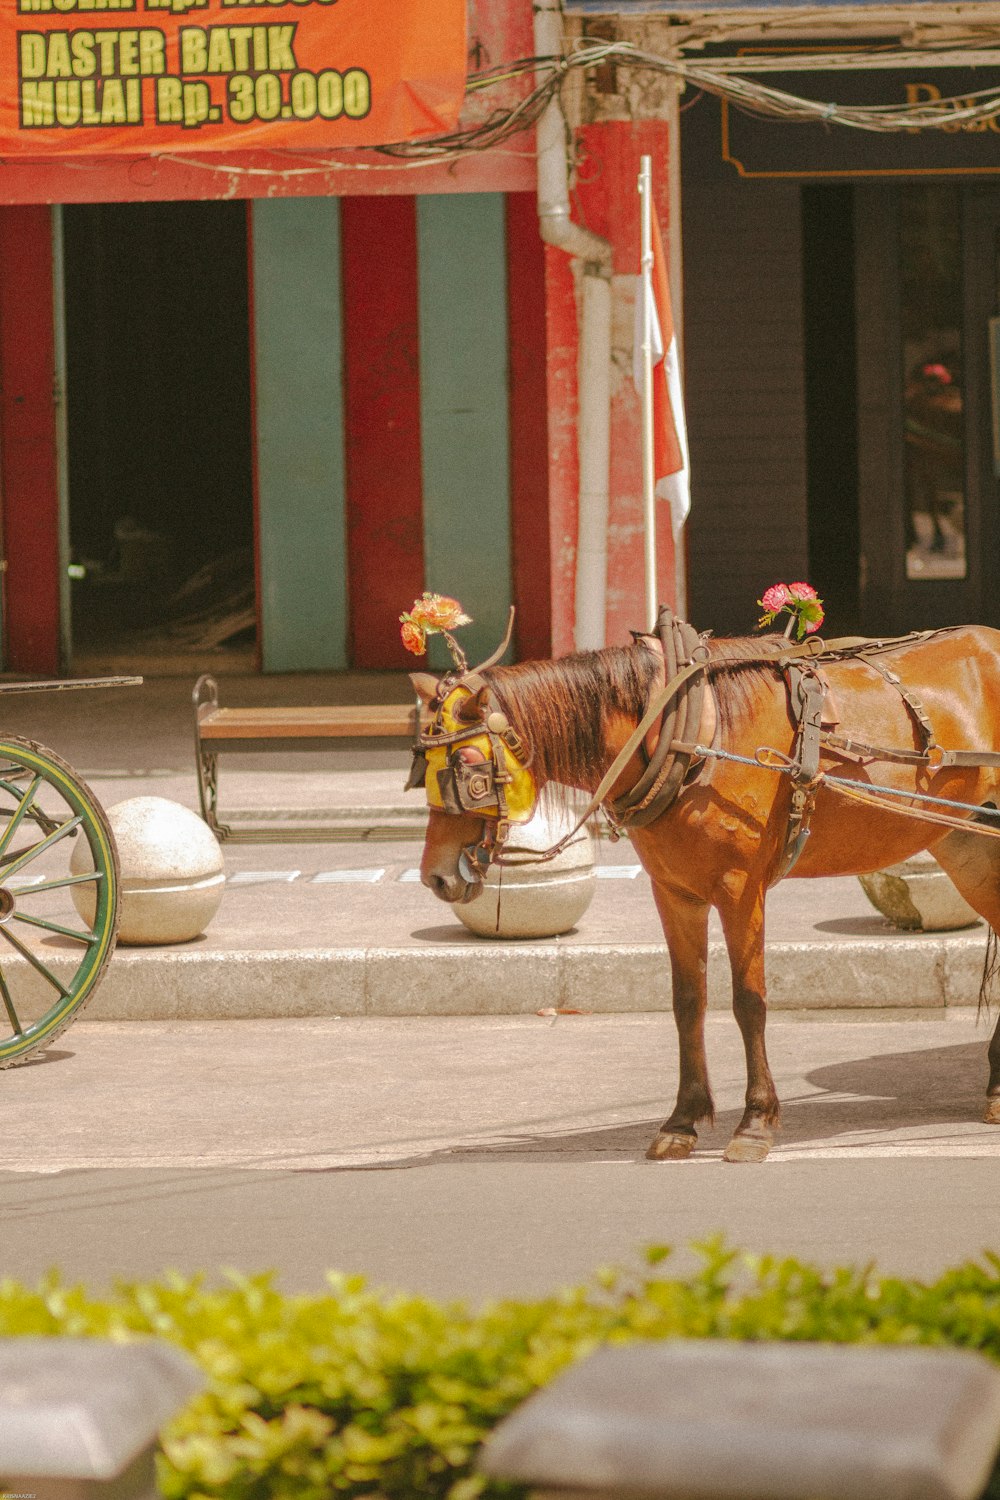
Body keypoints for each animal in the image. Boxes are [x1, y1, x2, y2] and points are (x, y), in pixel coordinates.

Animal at [413, 621, 1000, 1158]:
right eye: (422, 768)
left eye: (467, 769)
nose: (435, 877)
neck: (686, 731)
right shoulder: (675, 892)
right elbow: (687, 1001)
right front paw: (683, 1120)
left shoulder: (741, 889)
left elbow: (749, 1001)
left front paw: (756, 1121)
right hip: (969, 845)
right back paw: (994, 1088)